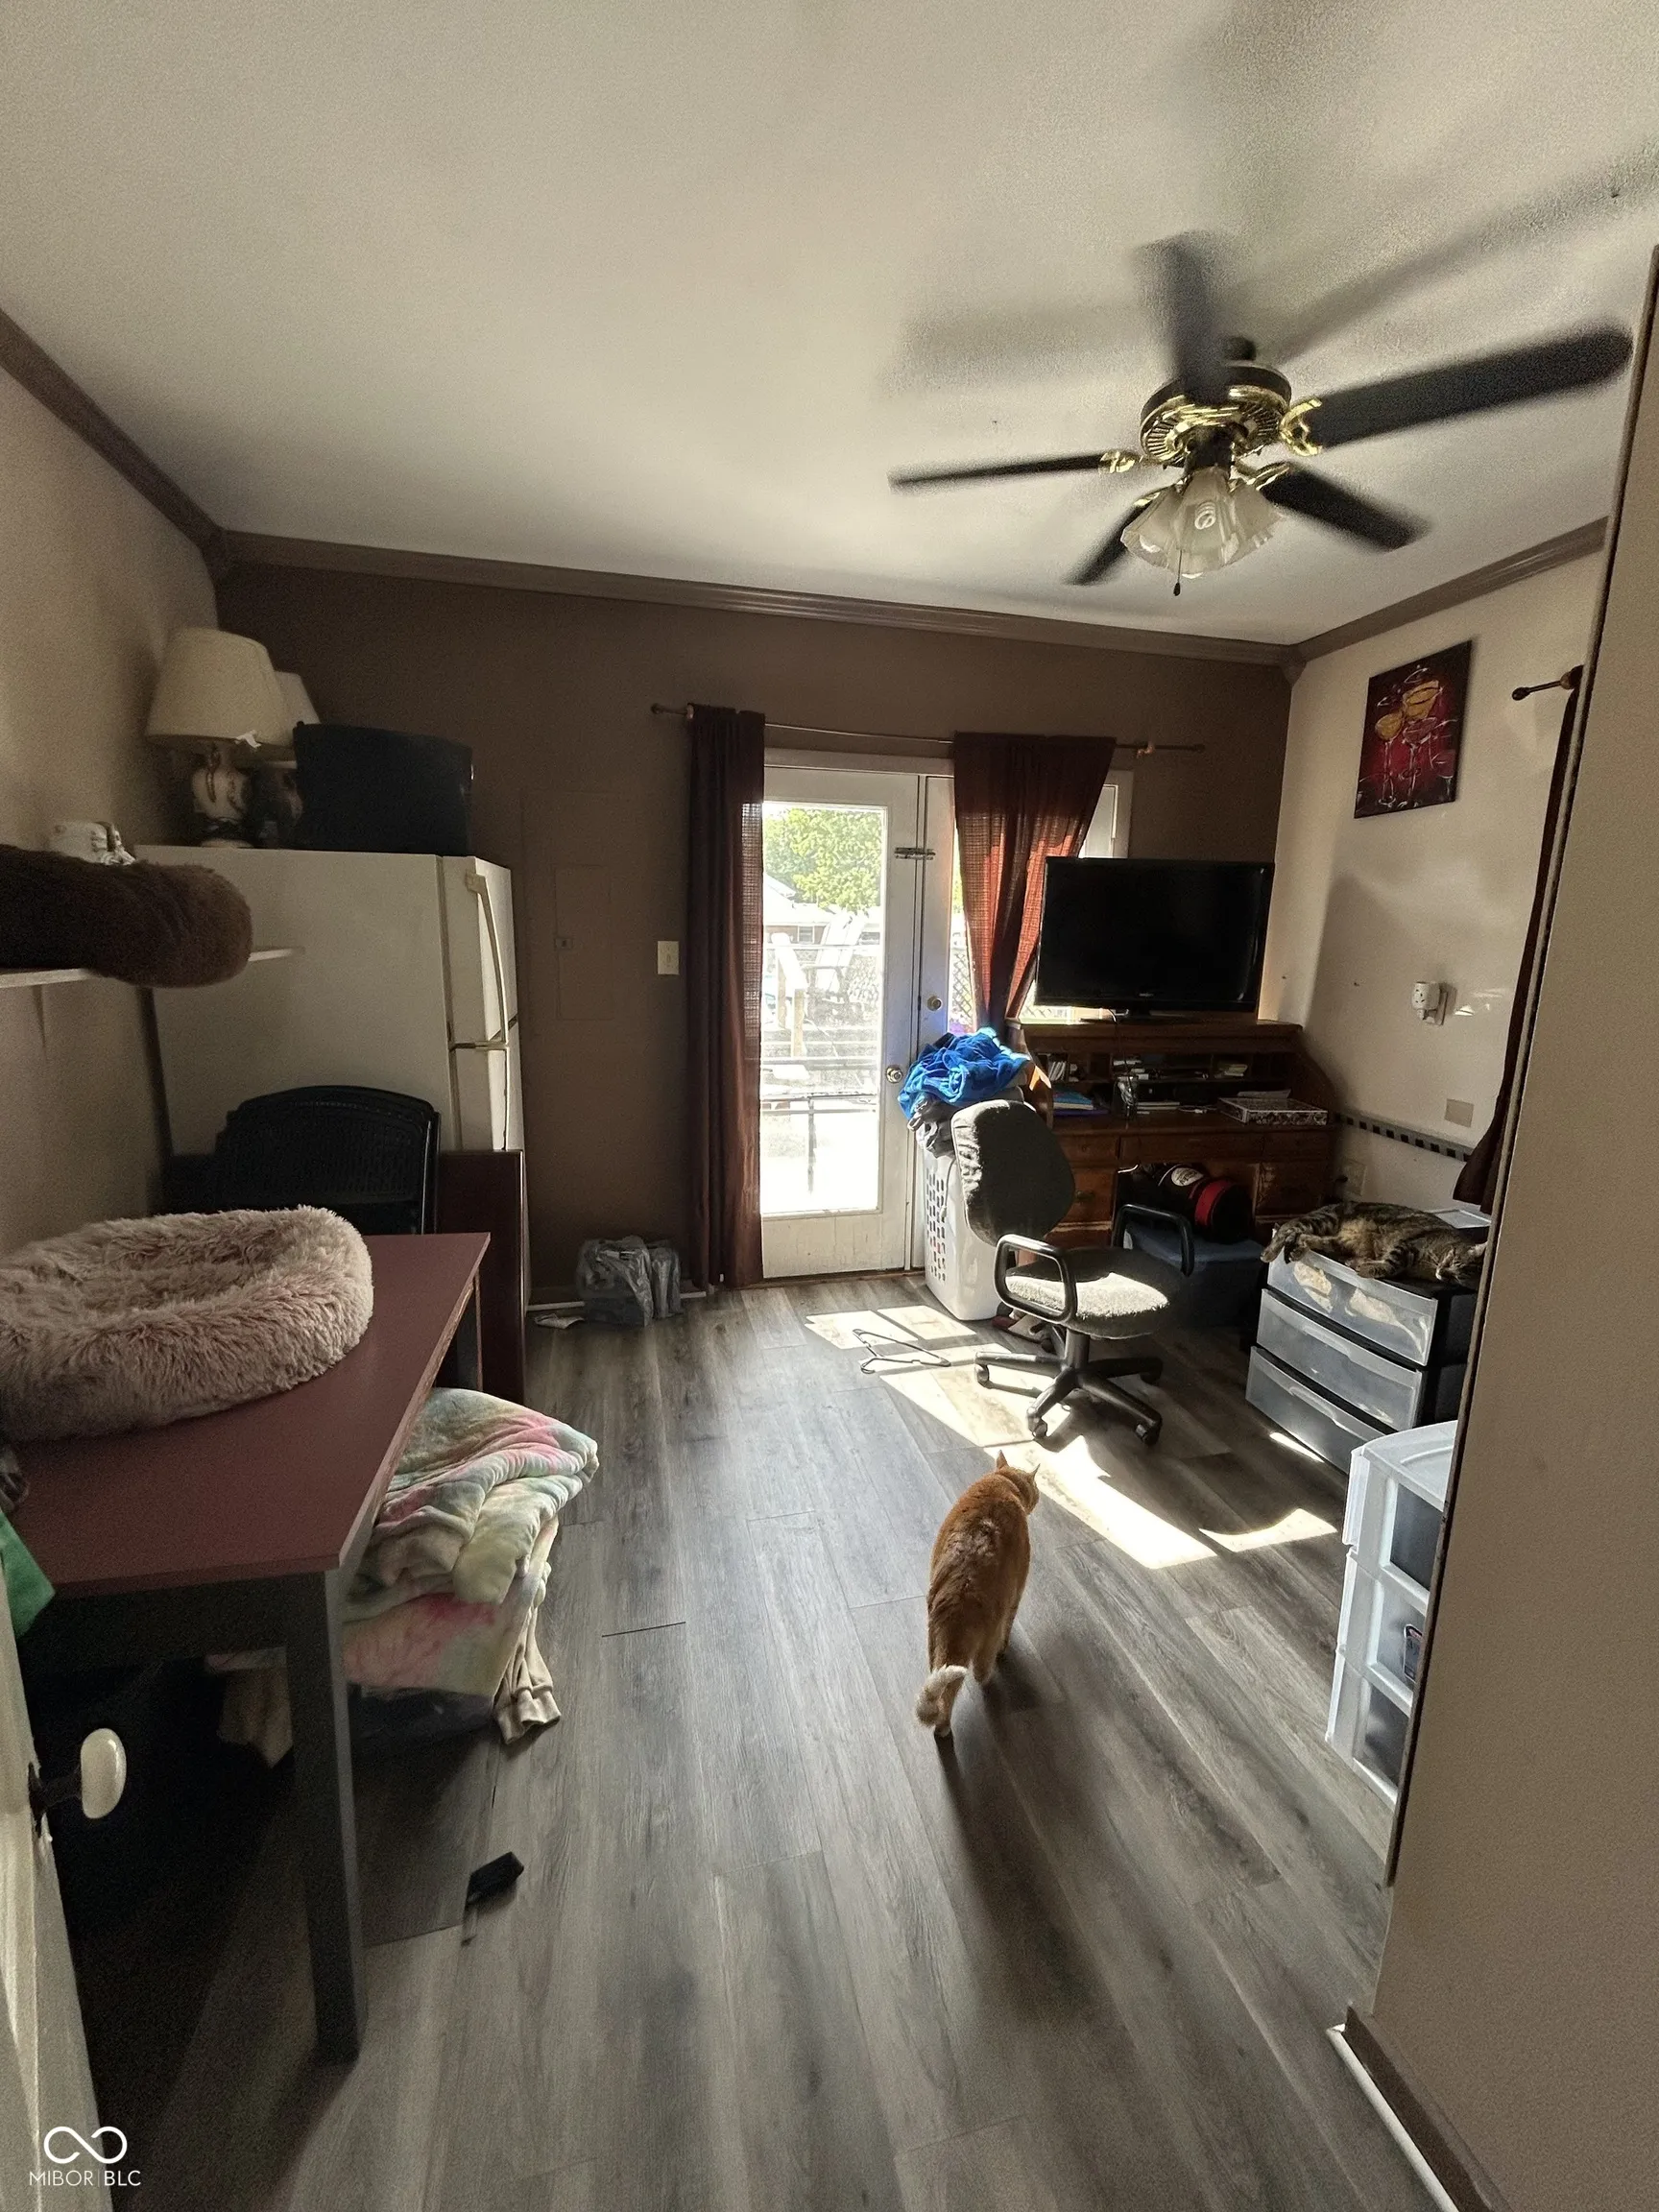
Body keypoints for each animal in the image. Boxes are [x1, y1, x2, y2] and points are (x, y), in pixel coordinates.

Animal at [915, 1454, 1040, 1740]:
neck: (1002, 1482)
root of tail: (961, 1595)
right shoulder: (1018, 1590)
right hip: (985, 1642)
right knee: (978, 1675)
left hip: (935, 1644)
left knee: (945, 1690)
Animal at [1264, 1201, 1486, 1286]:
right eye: (1452, 1261)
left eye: (1457, 1277)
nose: (1443, 1273)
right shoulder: (1408, 1246)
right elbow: (1392, 1264)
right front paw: (1368, 1269)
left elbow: (1386, 1266)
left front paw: (1360, 1264)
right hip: (1324, 1220)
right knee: (1288, 1227)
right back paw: (1269, 1253)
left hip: (1336, 1240)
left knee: (1306, 1237)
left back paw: (1299, 1250)